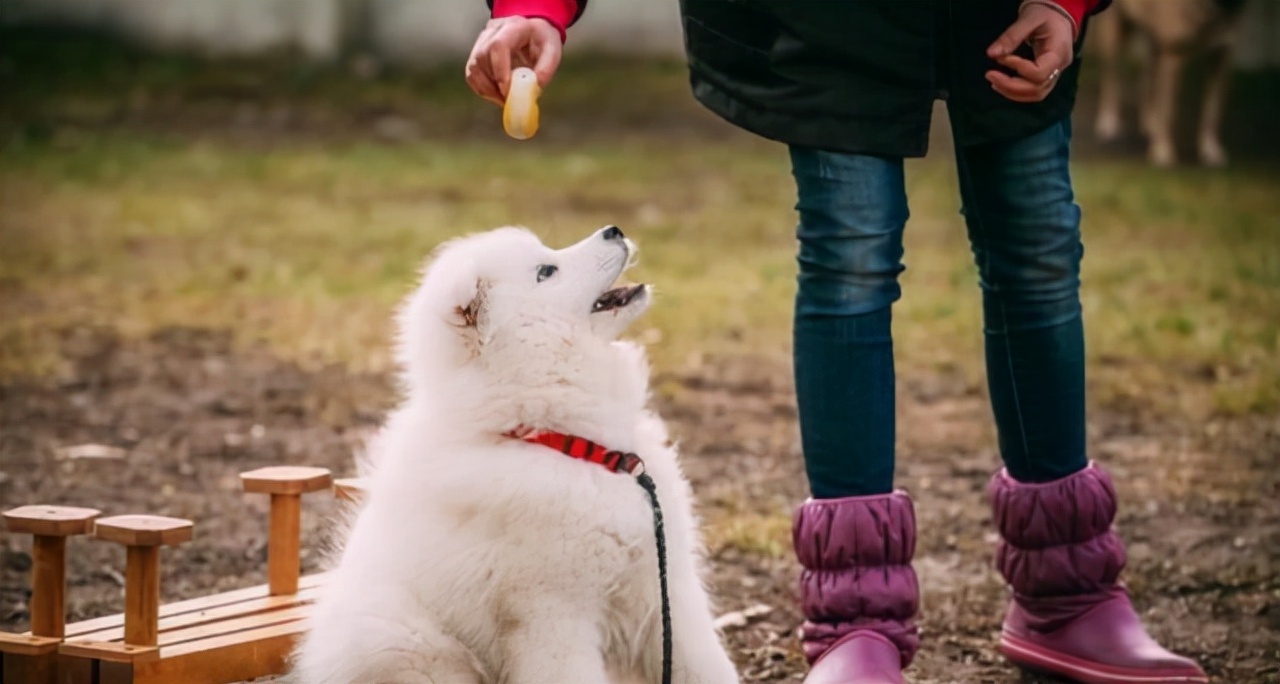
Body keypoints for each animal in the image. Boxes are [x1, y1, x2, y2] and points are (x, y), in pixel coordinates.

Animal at [286, 226, 737, 684]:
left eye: (547, 255)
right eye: (546, 271)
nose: (614, 230)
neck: (569, 443)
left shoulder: (665, 592)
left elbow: (706, 665)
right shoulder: (554, 613)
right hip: (405, 642)